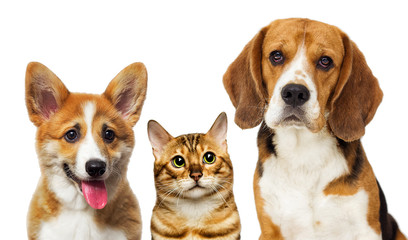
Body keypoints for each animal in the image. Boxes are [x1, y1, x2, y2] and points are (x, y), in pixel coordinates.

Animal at [225, 18, 406, 240]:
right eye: (276, 56)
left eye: (325, 61)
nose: (294, 92)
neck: (303, 153)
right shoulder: (270, 230)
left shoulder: (366, 229)